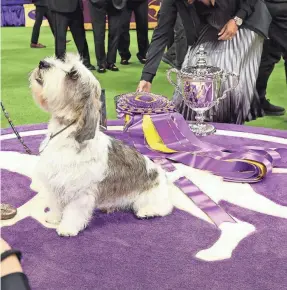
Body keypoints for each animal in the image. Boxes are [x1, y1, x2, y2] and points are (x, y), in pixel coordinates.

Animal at [29, 53, 174, 237]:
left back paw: (147, 211)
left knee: (165, 207)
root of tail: (164, 176)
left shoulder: (80, 192)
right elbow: (55, 203)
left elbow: (74, 212)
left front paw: (67, 228)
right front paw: (54, 218)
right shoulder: (55, 182)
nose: (43, 63)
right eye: (64, 60)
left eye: (73, 74)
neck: (66, 134)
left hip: (149, 197)